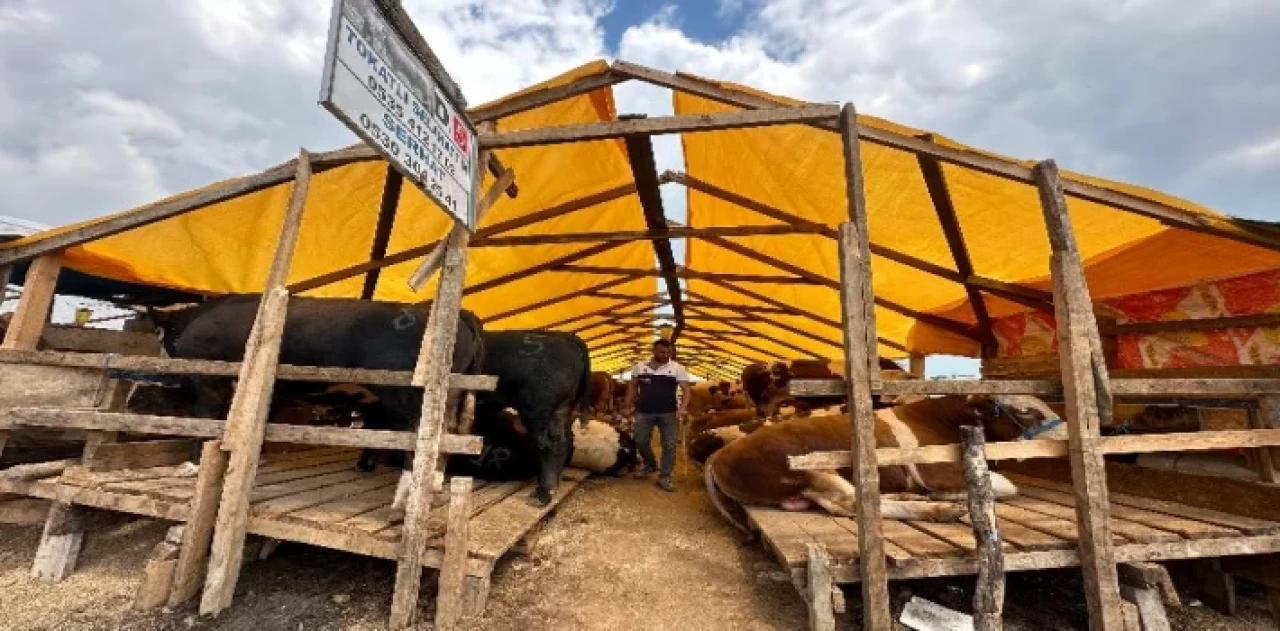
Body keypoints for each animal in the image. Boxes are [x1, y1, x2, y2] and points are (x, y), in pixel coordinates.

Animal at [706, 394, 1064, 527]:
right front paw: (947, 496)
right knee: (852, 504)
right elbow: (1006, 486)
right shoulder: (934, 469)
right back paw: (939, 509)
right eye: (1025, 410)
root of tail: (720, 453)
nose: (1064, 431)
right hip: (810, 469)